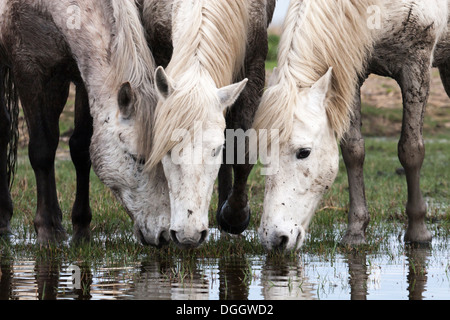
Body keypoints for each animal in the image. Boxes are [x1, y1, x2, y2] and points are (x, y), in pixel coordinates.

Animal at [253, 0, 450, 251]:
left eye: (303, 152)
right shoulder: (352, 71)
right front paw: (355, 232)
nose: (275, 239)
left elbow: (411, 150)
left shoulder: (416, 65)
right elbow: (353, 151)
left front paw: (418, 233)